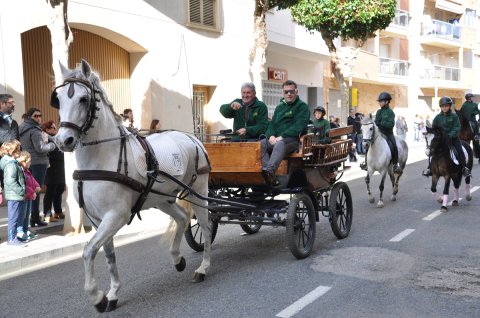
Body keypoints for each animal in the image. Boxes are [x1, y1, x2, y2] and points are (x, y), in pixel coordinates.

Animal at [51, 59, 212, 314]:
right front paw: (113, 292)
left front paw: (96, 296)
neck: (102, 156)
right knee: (182, 218)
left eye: (84, 99)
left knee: (205, 226)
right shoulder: (98, 219)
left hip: (199, 193)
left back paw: (203, 268)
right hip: (162, 198)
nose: (63, 140)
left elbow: (88, 251)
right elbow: (108, 254)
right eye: (58, 99)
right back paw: (177, 258)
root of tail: (193, 137)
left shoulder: (116, 215)